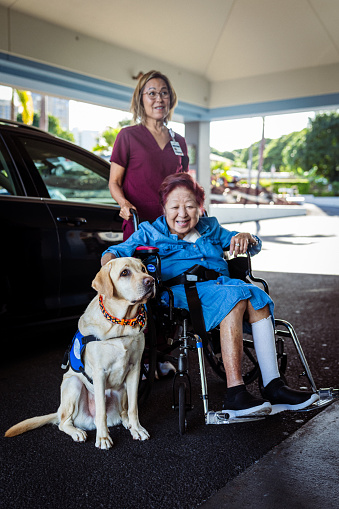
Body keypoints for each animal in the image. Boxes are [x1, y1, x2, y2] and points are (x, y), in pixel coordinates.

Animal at [4, 258, 156, 448]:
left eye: (143, 269)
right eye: (125, 273)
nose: (151, 281)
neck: (121, 324)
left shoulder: (135, 369)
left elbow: (134, 407)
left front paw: (137, 428)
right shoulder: (99, 373)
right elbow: (101, 411)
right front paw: (103, 438)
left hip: (121, 389)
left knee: (123, 412)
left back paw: (127, 423)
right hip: (73, 384)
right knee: (64, 422)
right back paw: (77, 431)